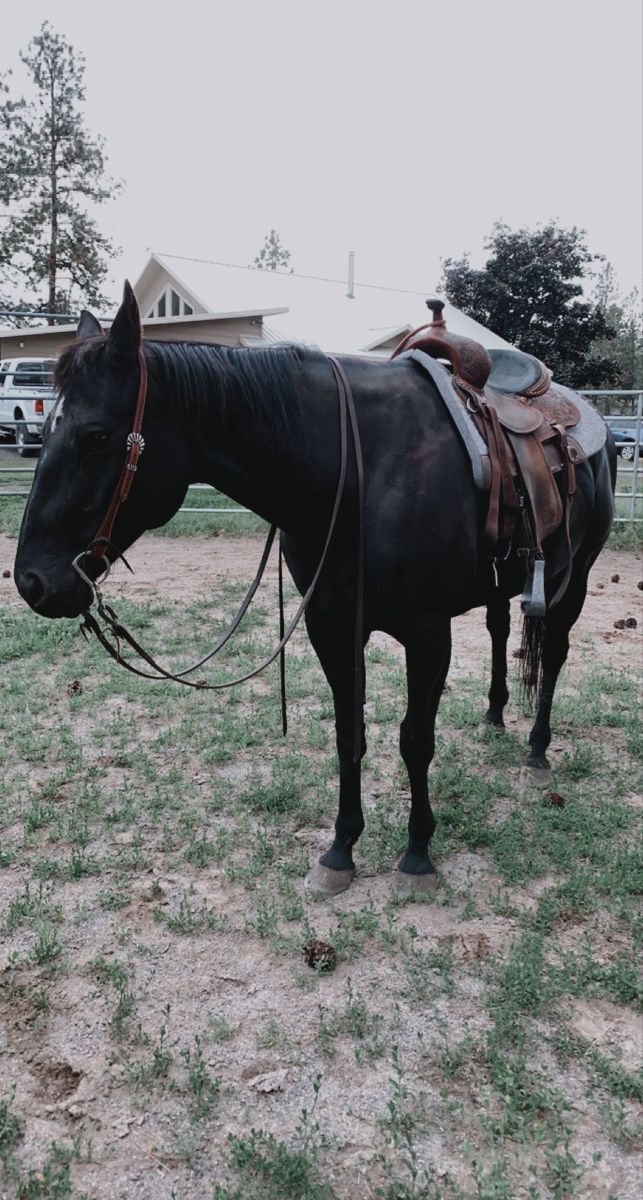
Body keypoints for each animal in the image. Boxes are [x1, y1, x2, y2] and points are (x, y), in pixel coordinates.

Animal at [15, 285, 614, 897]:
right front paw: (341, 848)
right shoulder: (331, 623)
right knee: (499, 627)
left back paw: (537, 748)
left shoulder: (427, 633)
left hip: (577, 576)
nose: (31, 581)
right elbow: (349, 733)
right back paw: (494, 715)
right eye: (45, 430)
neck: (361, 472)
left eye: (95, 436)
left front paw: (417, 853)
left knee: (554, 652)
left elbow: (415, 739)